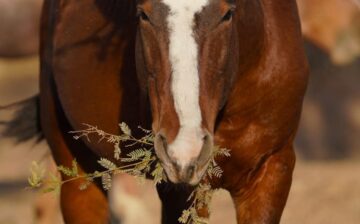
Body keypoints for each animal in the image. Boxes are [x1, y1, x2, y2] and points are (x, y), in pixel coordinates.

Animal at [4, 0, 308, 223]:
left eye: (227, 14)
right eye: (143, 14)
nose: (185, 150)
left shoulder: (272, 170)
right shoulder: (179, 189)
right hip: (76, 168)